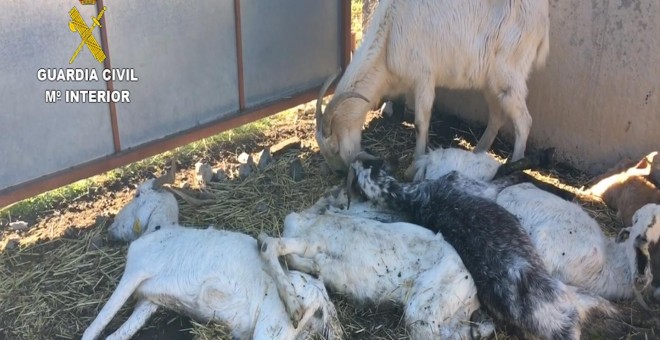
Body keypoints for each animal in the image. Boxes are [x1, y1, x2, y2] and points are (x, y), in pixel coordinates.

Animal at [84, 171, 340, 340]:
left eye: (137, 195)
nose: (111, 229)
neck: (158, 230)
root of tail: (320, 299)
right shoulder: (149, 301)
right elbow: (116, 335)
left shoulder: (135, 271)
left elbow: (94, 326)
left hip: (272, 329)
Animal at [258, 189, 496, 340]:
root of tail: (473, 293)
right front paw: (315, 268)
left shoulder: (310, 241)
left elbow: (269, 245)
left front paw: (294, 308)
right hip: (449, 315)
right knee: (462, 334)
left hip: (424, 309)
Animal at [318, 0, 548, 178]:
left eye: (335, 148)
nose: (339, 172)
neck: (388, 38)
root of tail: (543, 23)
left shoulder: (424, 76)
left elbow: (421, 122)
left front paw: (414, 167)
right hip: (491, 80)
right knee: (497, 116)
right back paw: (477, 152)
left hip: (509, 72)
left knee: (523, 121)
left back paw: (514, 166)